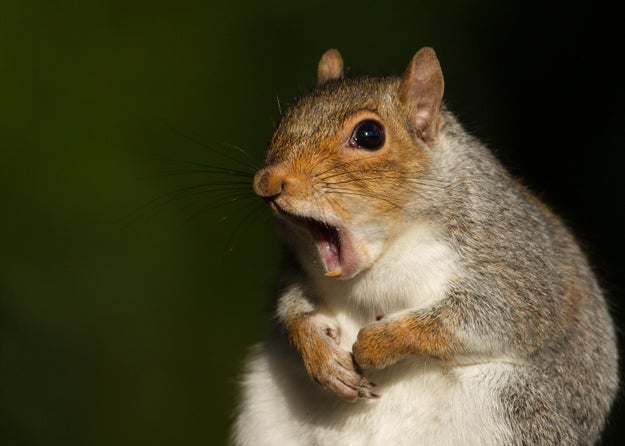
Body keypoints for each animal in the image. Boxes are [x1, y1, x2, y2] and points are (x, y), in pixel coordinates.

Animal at [230, 47, 620, 444]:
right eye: (283, 119)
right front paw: (320, 354)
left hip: (518, 406)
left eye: (369, 134)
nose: (267, 182)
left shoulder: (515, 261)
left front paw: (380, 342)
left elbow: (490, 317)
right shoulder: (297, 266)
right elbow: (292, 305)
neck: (386, 251)